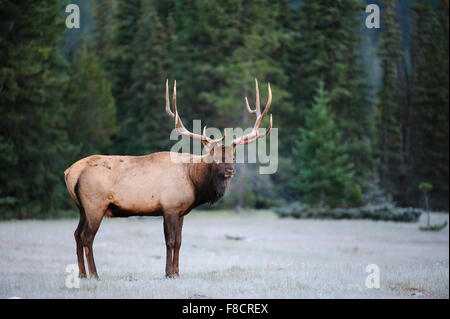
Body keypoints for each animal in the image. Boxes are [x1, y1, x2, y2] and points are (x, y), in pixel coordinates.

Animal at [64, 79, 274, 278]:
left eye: (234, 156)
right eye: (214, 156)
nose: (230, 170)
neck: (194, 181)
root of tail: (70, 172)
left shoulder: (181, 211)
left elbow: (179, 242)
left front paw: (177, 272)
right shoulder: (170, 207)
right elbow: (170, 241)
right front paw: (168, 273)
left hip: (82, 207)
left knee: (76, 234)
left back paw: (82, 274)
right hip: (95, 204)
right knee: (87, 237)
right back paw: (94, 274)